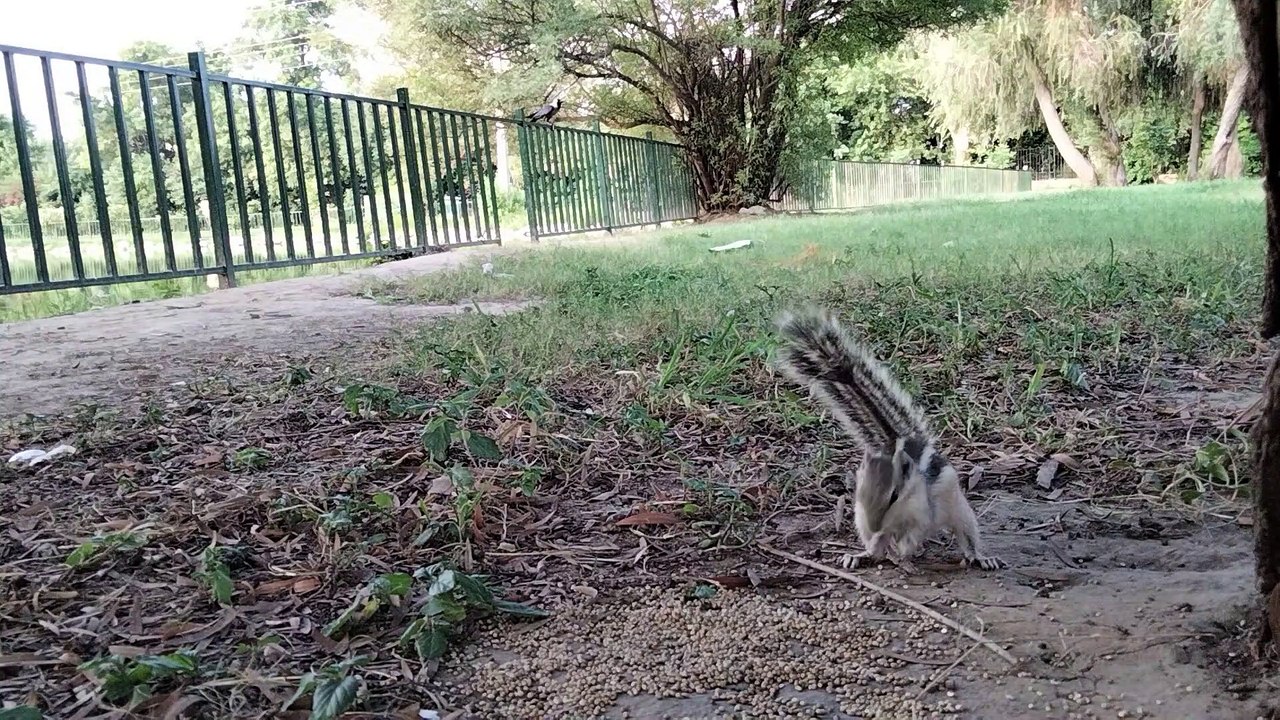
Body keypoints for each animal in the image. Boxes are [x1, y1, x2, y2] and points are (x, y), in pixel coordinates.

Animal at [774, 307, 1003, 574]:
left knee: (967, 534)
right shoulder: (863, 514)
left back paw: (979, 557)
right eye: (860, 492)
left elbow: (915, 533)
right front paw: (882, 547)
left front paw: (903, 550)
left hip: (959, 509)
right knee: (875, 548)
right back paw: (861, 555)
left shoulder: (922, 513)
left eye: (894, 495)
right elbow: (880, 539)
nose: (875, 526)